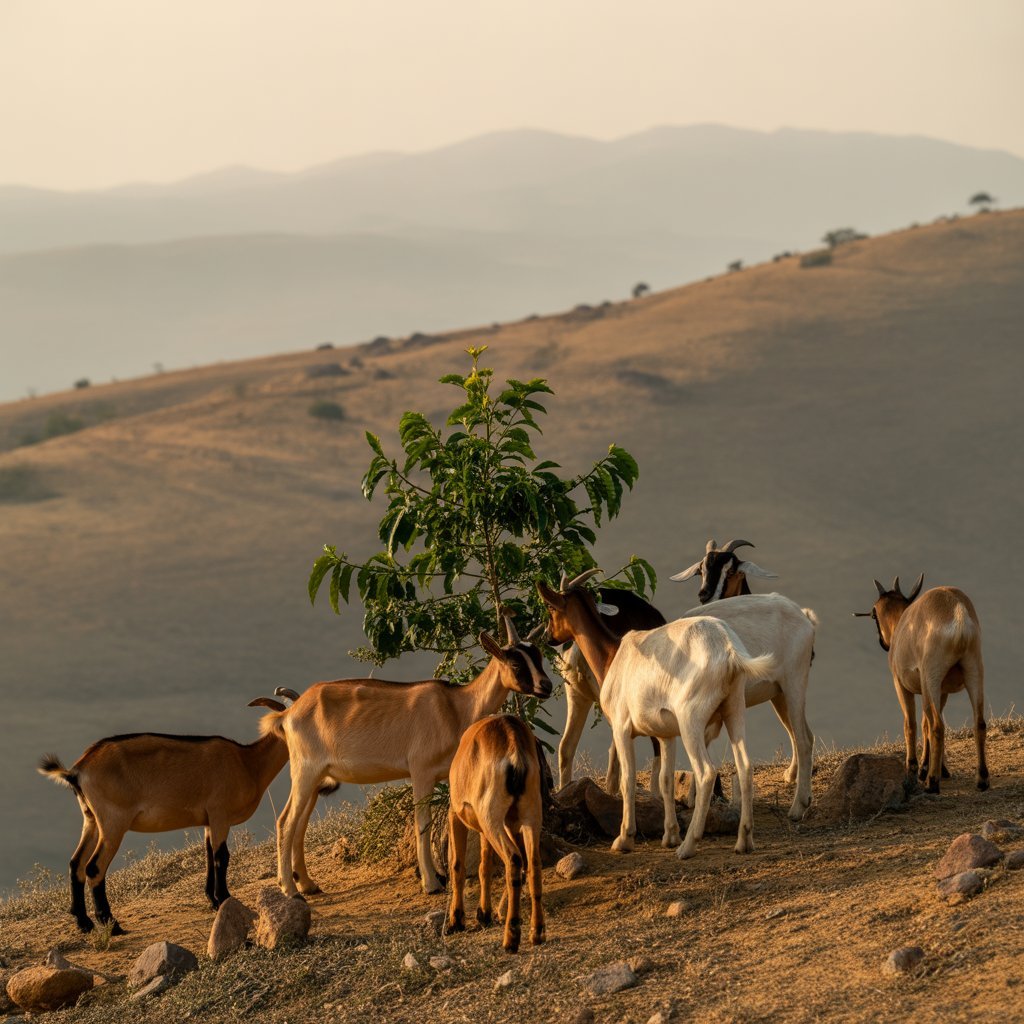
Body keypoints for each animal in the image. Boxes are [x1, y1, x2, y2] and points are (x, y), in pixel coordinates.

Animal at [38, 695, 291, 935]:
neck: (247, 763)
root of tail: (77, 771)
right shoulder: (220, 815)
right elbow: (222, 857)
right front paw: (224, 899)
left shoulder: (209, 820)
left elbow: (208, 855)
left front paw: (212, 899)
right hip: (112, 821)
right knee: (94, 868)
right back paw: (113, 925)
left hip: (91, 819)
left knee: (76, 864)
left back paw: (84, 923)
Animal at [260, 616, 552, 897]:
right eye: (516, 663)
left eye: (538, 656)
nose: (546, 686)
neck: (456, 706)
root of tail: (287, 715)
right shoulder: (421, 771)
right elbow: (422, 823)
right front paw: (431, 883)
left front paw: (439, 876)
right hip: (305, 772)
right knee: (286, 821)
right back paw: (290, 890)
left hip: (315, 777)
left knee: (299, 825)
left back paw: (308, 884)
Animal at [446, 715, 546, 952]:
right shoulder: (490, 828)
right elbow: (484, 866)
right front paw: (484, 914)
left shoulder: (456, 813)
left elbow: (458, 865)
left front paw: (456, 921)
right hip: (529, 817)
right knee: (533, 864)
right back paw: (536, 932)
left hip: (493, 820)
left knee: (514, 860)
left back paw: (511, 938)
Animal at [538, 576, 775, 858]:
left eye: (551, 608)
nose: (548, 637)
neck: (613, 655)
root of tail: (728, 650)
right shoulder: (665, 734)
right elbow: (665, 780)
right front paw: (669, 835)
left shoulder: (622, 728)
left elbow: (628, 780)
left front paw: (625, 838)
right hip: (734, 710)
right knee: (745, 766)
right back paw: (744, 841)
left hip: (691, 721)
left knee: (706, 772)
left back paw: (688, 846)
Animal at [855, 575, 987, 793]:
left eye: (874, 613)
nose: (884, 643)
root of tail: (957, 612)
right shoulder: (941, 691)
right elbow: (925, 723)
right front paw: (936, 767)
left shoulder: (901, 684)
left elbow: (912, 723)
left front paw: (915, 767)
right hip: (973, 672)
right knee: (978, 723)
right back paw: (982, 779)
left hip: (930, 677)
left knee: (938, 726)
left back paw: (932, 783)